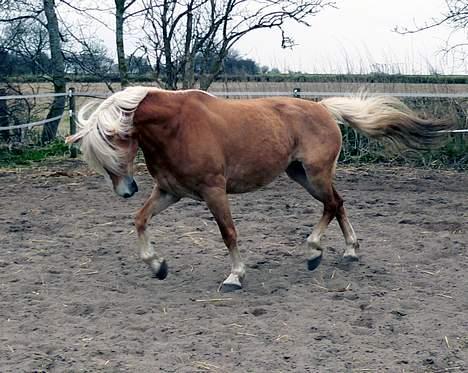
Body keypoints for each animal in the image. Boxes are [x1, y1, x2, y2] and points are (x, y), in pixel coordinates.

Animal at [66, 87, 450, 290]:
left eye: (114, 146)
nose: (126, 189)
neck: (176, 128)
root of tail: (324, 109)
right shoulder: (170, 191)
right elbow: (140, 220)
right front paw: (157, 265)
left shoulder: (214, 191)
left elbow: (229, 233)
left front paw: (235, 276)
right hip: (301, 175)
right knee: (339, 203)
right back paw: (349, 252)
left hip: (315, 175)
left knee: (331, 205)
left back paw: (314, 251)